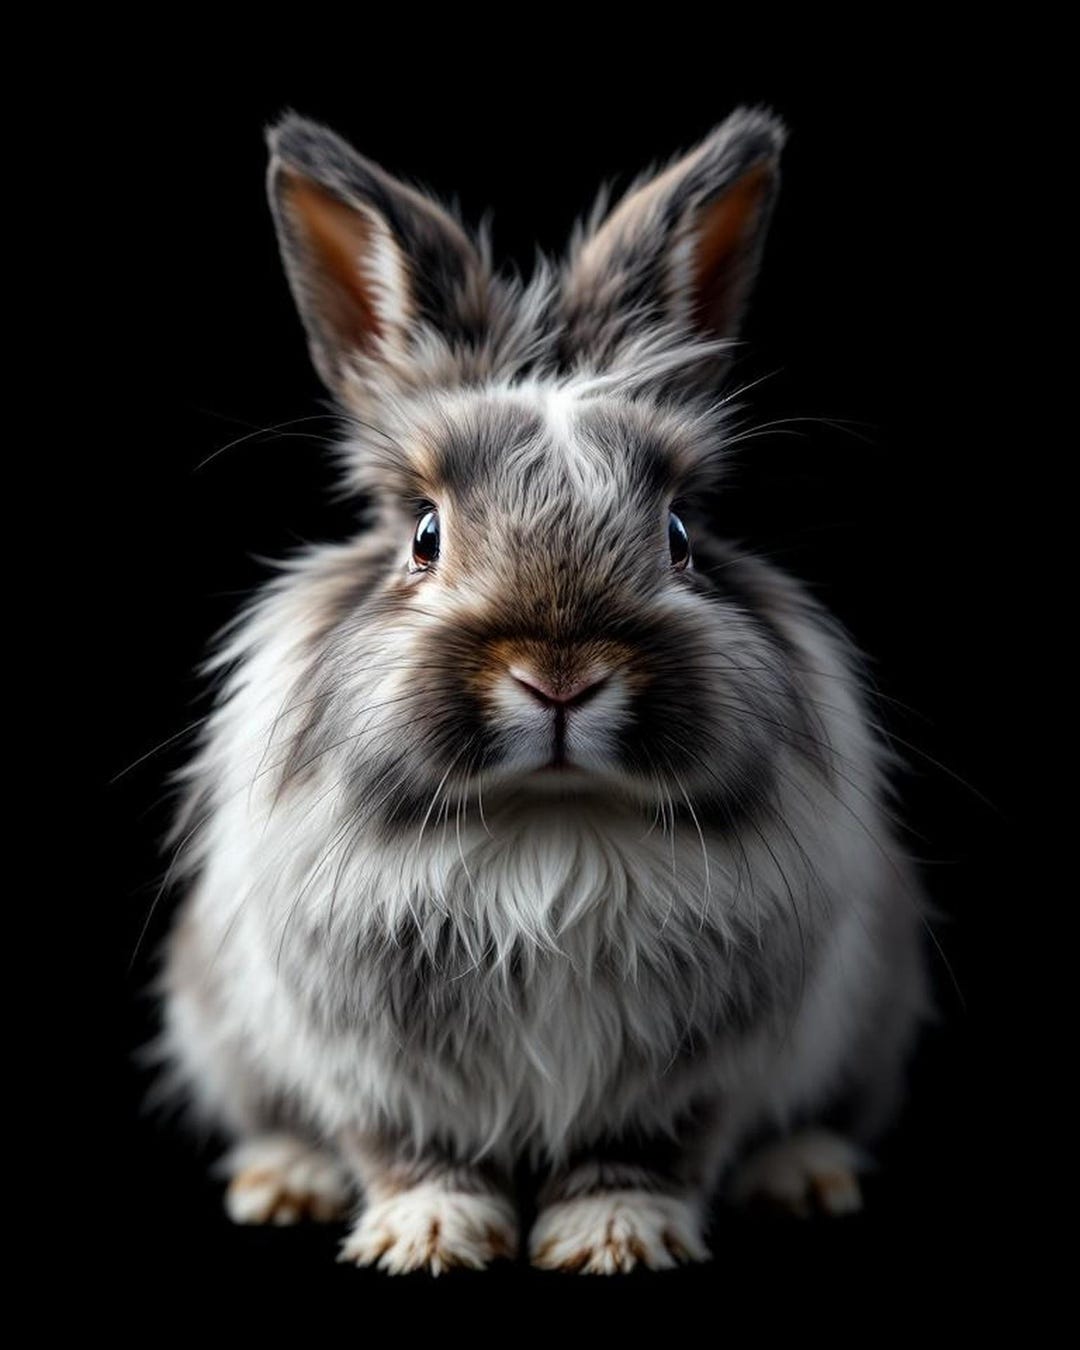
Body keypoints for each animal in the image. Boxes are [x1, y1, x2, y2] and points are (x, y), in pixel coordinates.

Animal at [157, 107, 931, 1276]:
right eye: (425, 535)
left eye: (681, 534)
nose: (559, 675)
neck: (550, 837)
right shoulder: (365, 1056)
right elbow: (404, 1142)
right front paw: (429, 1232)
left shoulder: (698, 1068)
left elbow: (647, 1148)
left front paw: (615, 1235)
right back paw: (282, 1180)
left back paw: (803, 1176)